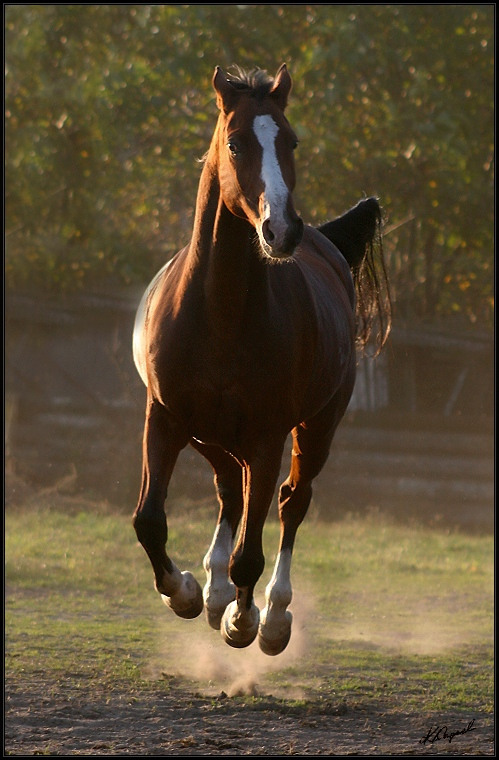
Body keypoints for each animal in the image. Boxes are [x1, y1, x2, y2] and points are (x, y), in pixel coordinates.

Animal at [132, 65, 390, 656]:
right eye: (235, 143)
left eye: (291, 141)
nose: (281, 229)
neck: (220, 314)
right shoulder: (164, 418)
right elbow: (150, 521)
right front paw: (185, 593)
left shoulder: (269, 436)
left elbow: (251, 548)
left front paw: (243, 621)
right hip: (207, 432)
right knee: (230, 484)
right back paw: (212, 591)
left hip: (316, 427)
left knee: (292, 501)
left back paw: (271, 617)